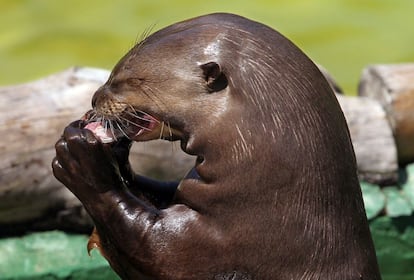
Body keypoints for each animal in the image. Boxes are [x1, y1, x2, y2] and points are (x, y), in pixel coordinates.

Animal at [51, 12, 382, 280]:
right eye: (114, 70)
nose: (95, 97)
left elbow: (145, 247)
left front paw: (82, 158)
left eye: (131, 80)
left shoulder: (214, 244)